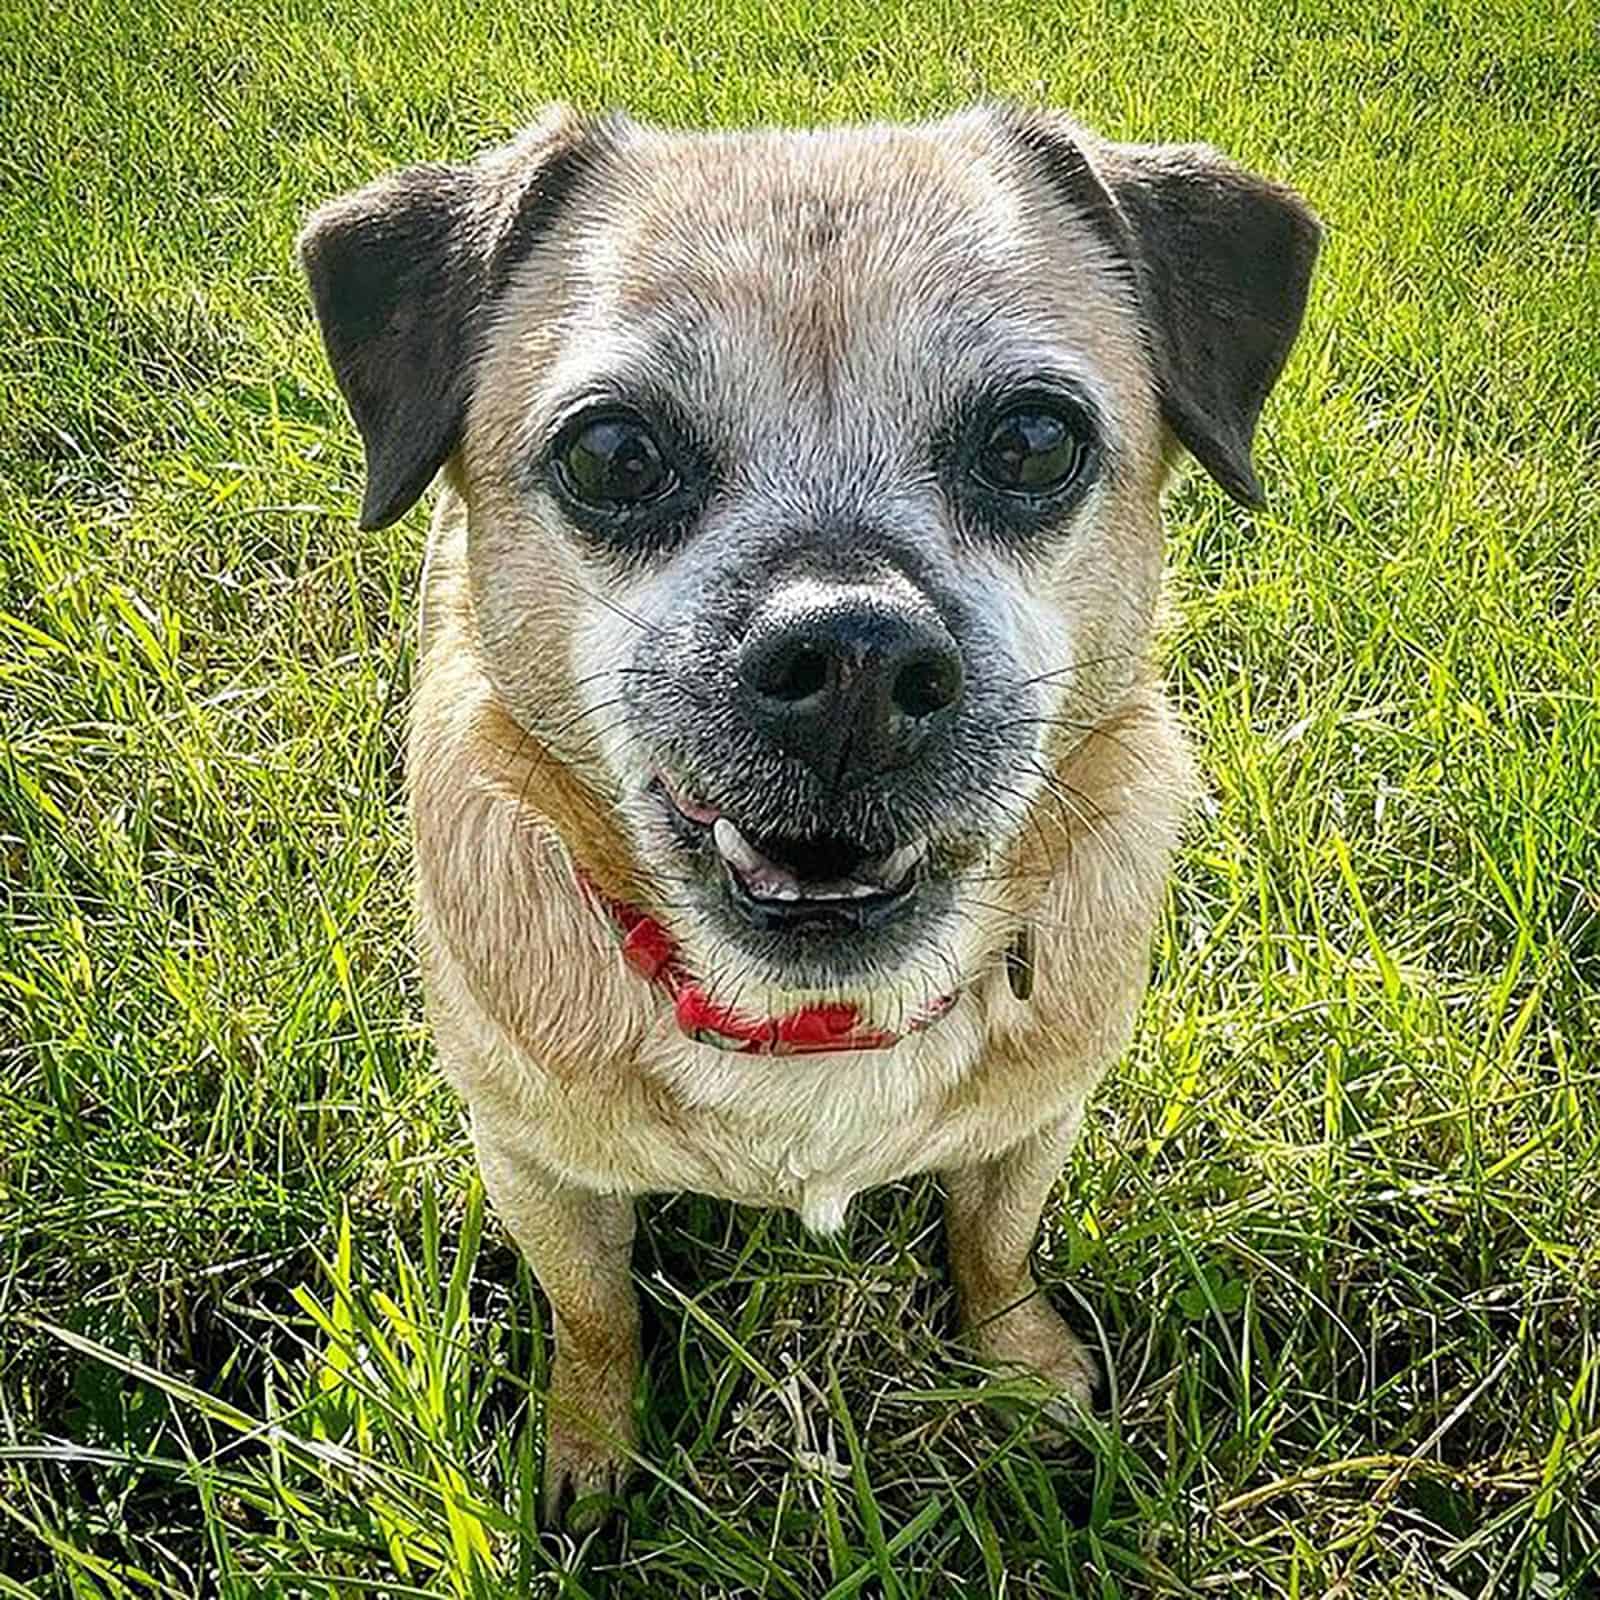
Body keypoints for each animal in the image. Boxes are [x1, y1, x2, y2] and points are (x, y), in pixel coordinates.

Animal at [297, 106, 1312, 1529]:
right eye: (612, 456)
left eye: (1032, 444)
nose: (851, 658)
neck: (810, 1023)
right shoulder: (534, 1167)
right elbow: (595, 1310)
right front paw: (590, 1451)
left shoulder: (1036, 1125)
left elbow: (993, 1242)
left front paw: (1023, 1366)